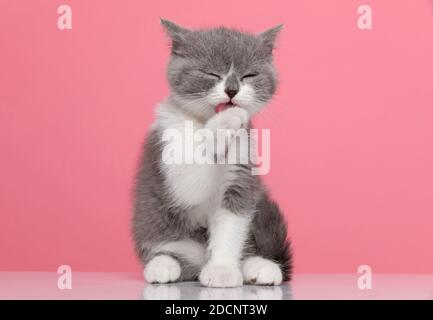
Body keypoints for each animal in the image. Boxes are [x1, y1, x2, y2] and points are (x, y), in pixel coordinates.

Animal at [133, 18, 292, 286]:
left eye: (249, 75)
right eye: (210, 73)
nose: (232, 90)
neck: (203, 121)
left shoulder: (241, 170)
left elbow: (231, 223)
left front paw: (222, 269)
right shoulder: (171, 148)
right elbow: (190, 181)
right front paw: (227, 119)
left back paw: (260, 267)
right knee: (172, 254)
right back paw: (162, 265)